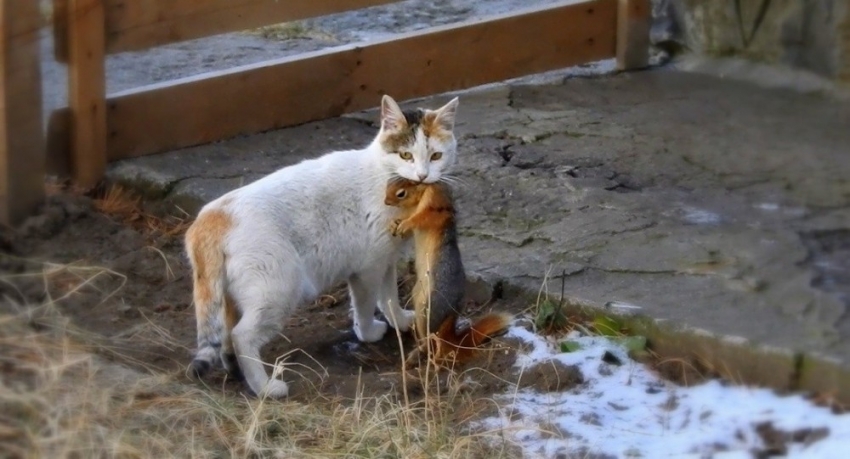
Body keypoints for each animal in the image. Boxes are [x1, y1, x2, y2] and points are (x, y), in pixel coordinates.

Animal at [184, 95, 458, 398]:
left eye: (436, 156)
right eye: (405, 156)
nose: (423, 176)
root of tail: (211, 215)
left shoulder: (386, 259)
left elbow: (388, 297)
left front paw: (398, 321)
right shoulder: (368, 267)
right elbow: (365, 306)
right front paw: (368, 334)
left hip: (233, 298)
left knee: (226, 336)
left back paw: (235, 371)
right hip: (277, 291)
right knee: (241, 336)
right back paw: (266, 388)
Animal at [384, 178, 510, 368]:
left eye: (401, 193)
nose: (385, 202)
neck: (420, 198)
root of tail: (450, 323)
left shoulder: (437, 207)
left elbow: (424, 218)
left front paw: (405, 223)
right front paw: (395, 222)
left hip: (431, 307)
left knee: (435, 341)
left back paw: (422, 357)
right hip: (419, 300)